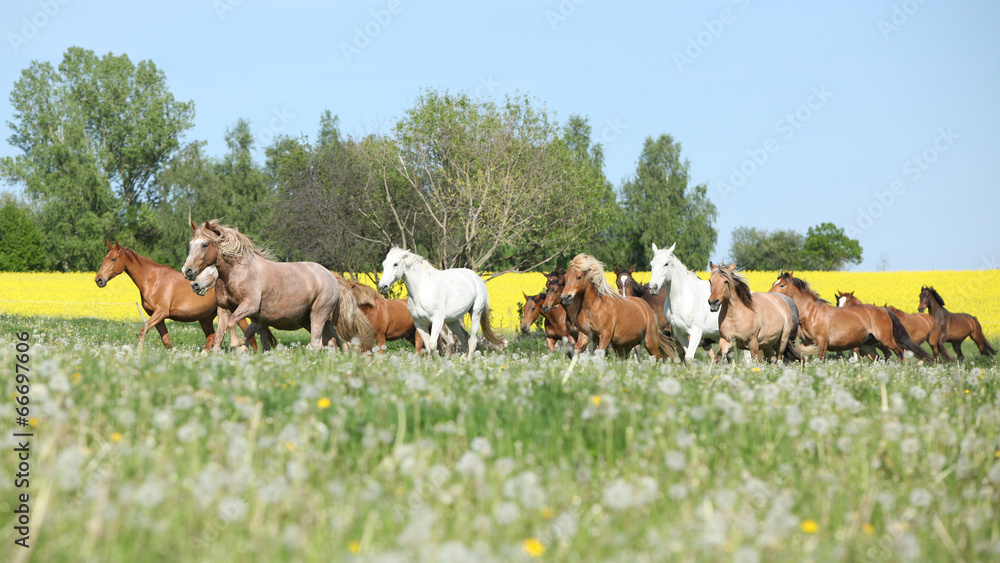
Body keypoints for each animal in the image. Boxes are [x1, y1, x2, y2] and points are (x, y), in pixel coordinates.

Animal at [95, 240, 262, 351]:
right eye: (103, 258)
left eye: (113, 259)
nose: (99, 280)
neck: (152, 280)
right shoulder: (158, 317)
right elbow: (166, 341)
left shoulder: (160, 313)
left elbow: (143, 330)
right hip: (205, 318)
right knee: (211, 338)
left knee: (250, 335)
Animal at [181, 220, 375, 351]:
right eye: (191, 244)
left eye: (205, 244)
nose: (187, 272)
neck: (238, 271)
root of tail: (331, 276)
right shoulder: (224, 308)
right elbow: (222, 333)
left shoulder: (249, 306)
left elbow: (233, 323)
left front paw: (238, 346)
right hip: (316, 319)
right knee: (336, 341)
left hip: (318, 315)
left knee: (318, 343)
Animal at [769, 273, 932, 362]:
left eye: (782, 285)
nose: (769, 294)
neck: (812, 312)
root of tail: (883, 310)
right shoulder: (807, 342)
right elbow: (805, 356)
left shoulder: (822, 342)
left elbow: (820, 359)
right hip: (868, 345)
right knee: (879, 357)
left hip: (885, 339)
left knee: (898, 351)